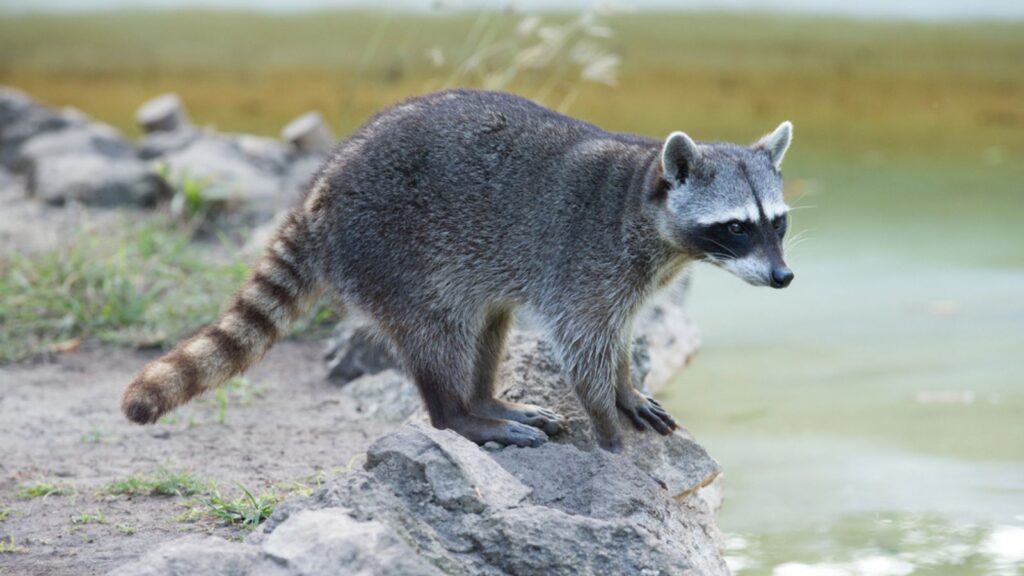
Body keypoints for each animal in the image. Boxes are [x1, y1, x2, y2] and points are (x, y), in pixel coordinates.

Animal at [121, 89, 794, 452]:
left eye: (778, 222)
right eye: (738, 226)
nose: (784, 279)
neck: (647, 205)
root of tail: (320, 188)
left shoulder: (629, 279)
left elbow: (618, 338)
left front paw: (626, 389)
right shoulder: (585, 265)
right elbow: (583, 345)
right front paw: (607, 423)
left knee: (488, 324)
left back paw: (486, 399)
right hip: (392, 251)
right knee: (437, 332)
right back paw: (459, 414)